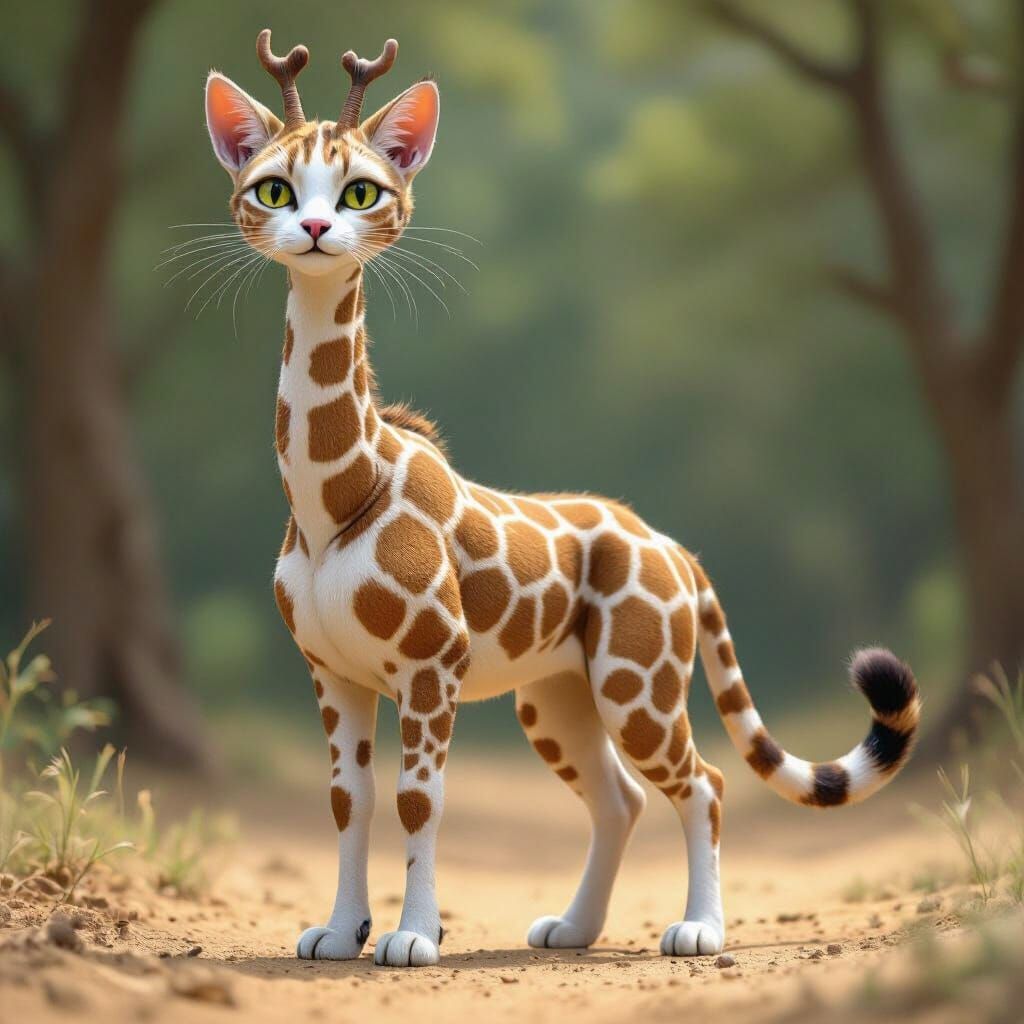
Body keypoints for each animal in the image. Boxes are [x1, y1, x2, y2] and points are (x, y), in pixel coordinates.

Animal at [204, 31, 922, 968]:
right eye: (275, 189)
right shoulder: (334, 673)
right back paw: (574, 928)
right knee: (621, 798)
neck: (336, 501)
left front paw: (412, 937)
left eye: (363, 189)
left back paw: (698, 929)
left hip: (637, 683)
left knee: (704, 781)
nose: (318, 231)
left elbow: (418, 800)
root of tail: (678, 551)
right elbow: (348, 800)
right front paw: (337, 930)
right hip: (556, 696)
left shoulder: (430, 667)